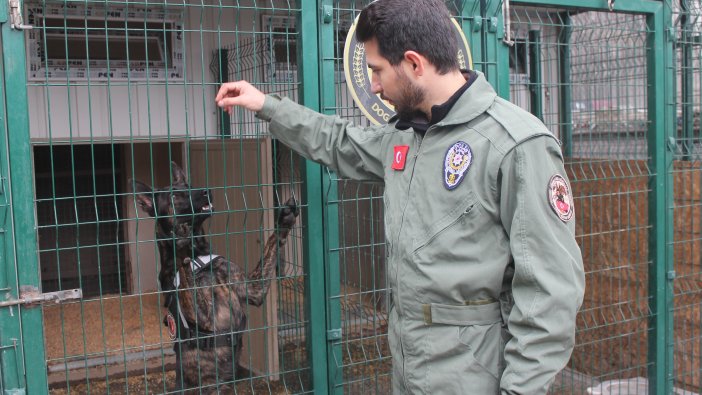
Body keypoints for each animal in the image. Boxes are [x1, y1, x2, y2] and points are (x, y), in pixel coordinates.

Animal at [133, 163, 300, 392]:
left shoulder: (254, 289)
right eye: (174, 196)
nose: (206, 191)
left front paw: (284, 220)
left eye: (190, 186)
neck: (199, 257)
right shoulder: (202, 316)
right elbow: (183, 277)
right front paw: (180, 243)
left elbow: (272, 243)